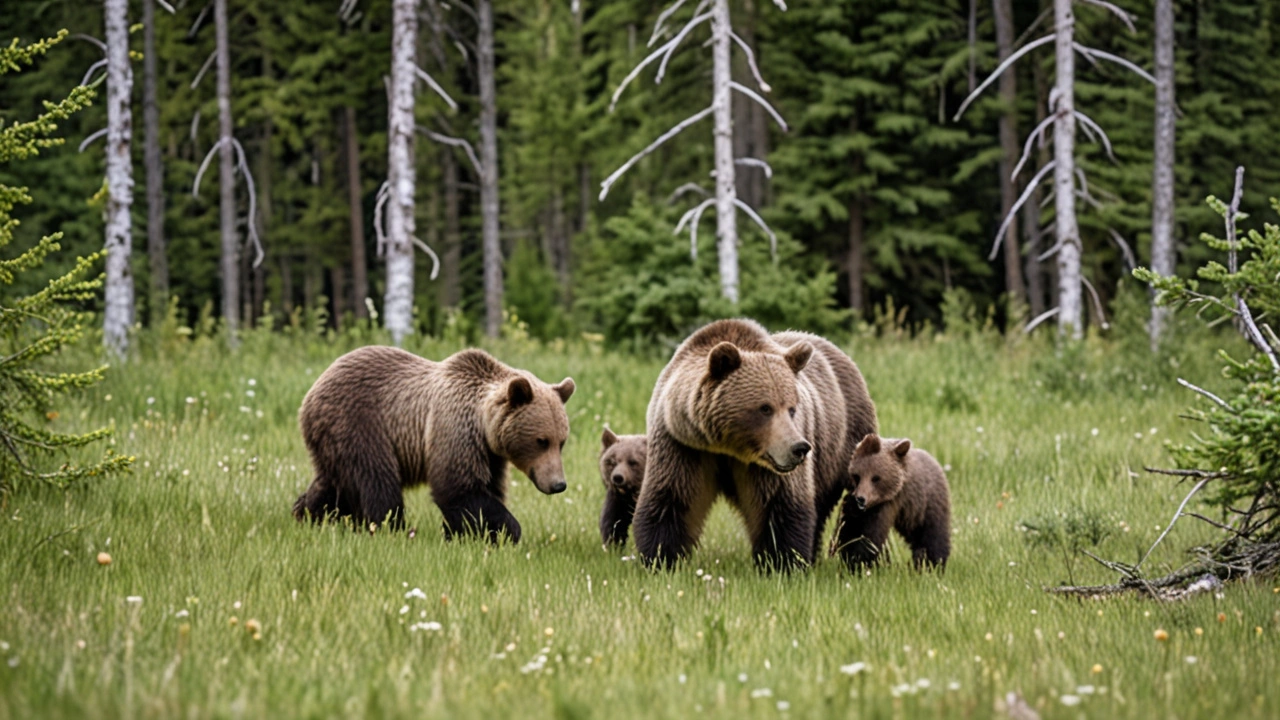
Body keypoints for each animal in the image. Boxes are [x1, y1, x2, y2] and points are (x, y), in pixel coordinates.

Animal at [294, 345, 576, 540]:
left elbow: (487, 489)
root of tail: (311, 392)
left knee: (331, 483)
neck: (482, 423)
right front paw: (506, 530)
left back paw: (305, 513)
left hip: (332, 440)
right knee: (378, 482)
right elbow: (458, 488)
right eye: (541, 441)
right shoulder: (455, 430)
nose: (558, 484)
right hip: (359, 425)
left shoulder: (489, 454)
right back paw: (393, 528)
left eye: (561, 442)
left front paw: (463, 534)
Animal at [632, 316, 875, 568]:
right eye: (765, 408)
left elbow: (779, 506)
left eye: (792, 408)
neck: (727, 447)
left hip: (845, 442)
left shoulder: (768, 464)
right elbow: (673, 498)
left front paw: (781, 562)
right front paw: (661, 558)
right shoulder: (682, 445)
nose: (799, 448)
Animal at [839, 430, 952, 566]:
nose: (861, 499)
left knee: (934, 534)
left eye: (876, 478)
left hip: (927, 505)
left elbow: (871, 535)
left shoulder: (889, 504)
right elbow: (851, 527)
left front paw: (862, 559)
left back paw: (933, 562)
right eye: (857, 476)